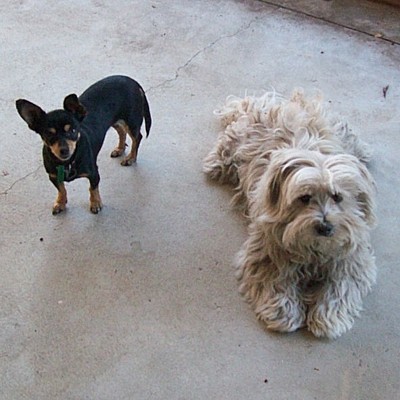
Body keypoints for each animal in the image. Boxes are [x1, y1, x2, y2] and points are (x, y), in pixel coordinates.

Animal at [15, 74, 150, 214]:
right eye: (48, 135)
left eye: (73, 131)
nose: (64, 150)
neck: (67, 162)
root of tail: (131, 80)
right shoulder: (53, 177)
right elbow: (61, 189)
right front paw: (60, 202)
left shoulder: (94, 173)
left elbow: (92, 189)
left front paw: (95, 203)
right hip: (115, 120)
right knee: (121, 131)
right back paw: (120, 149)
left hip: (131, 121)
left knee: (137, 138)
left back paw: (131, 158)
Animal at [205, 90, 376, 338]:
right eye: (304, 198)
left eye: (337, 197)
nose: (325, 226)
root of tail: (272, 103)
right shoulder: (267, 250)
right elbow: (274, 279)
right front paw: (283, 314)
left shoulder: (352, 259)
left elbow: (341, 287)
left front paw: (328, 318)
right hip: (234, 144)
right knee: (224, 151)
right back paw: (216, 163)